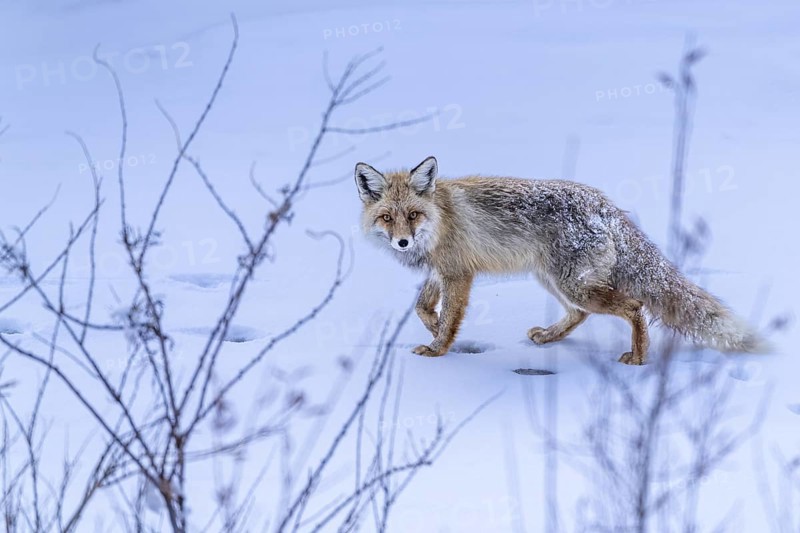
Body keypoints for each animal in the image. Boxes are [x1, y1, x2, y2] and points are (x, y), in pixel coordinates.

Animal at [354, 156, 766, 364]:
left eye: (413, 215)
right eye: (387, 217)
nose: (403, 242)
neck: (440, 218)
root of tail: (604, 205)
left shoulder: (458, 274)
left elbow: (449, 318)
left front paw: (439, 347)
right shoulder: (441, 271)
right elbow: (422, 307)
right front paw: (433, 326)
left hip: (572, 284)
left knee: (633, 306)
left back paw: (639, 356)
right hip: (555, 280)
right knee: (580, 315)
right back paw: (548, 338)